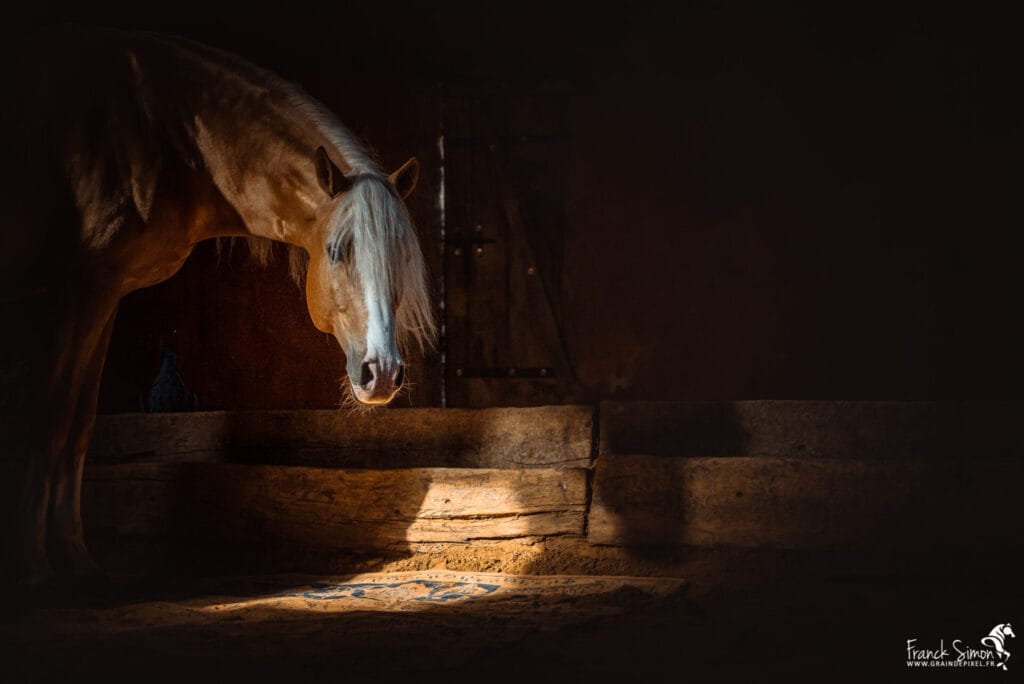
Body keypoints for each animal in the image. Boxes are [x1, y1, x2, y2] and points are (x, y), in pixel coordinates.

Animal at [0, 26, 435, 600]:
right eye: (337, 250)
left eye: (401, 258)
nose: (381, 373)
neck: (162, 134)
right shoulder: (78, 287)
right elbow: (48, 420)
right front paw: (35, 571)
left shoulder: (104, 292)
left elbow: (78, 425)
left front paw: (77, 563)